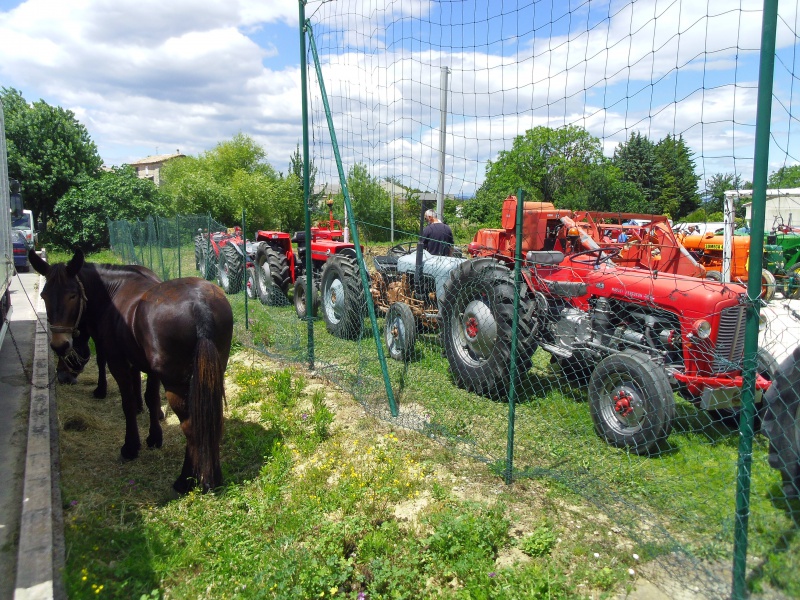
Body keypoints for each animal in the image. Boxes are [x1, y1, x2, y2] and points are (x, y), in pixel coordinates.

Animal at [32, 248, 233, 492]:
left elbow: (127, 403)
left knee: (192, 425)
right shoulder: (150, 369)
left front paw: (131, 446)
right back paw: (212, 477)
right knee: (212, 421)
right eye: (44, 296)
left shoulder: (117, 361)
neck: (112, 291)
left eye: (72, 295)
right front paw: (154, 438)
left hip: (177, 385)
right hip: (211, 375)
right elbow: (151, 398)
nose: (60, 345)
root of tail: (199, 305)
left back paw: (186, 480)